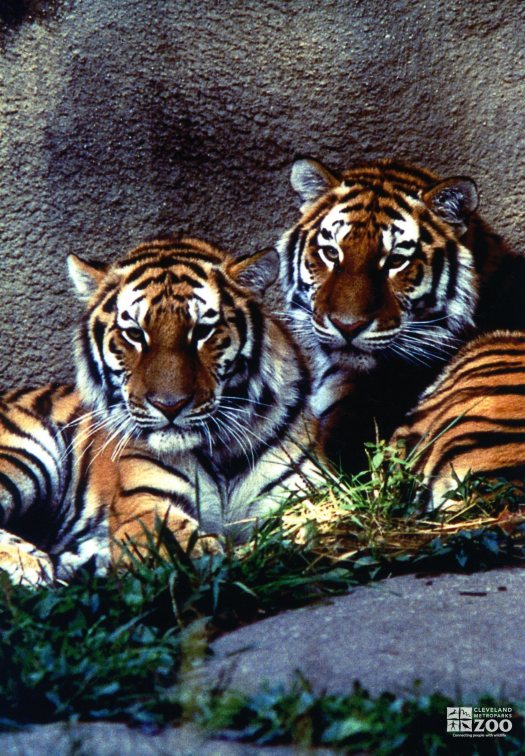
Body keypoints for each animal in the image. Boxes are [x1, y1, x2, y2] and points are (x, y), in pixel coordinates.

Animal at [0, 236, 322, 584]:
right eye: (134, 334)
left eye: (202, 331)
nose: (169, 405)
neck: (221, 453)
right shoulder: (144, 502)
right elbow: (184, 541)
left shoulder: (301, 489)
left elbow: (309, 520)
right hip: (26, 453)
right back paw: (30, 565)